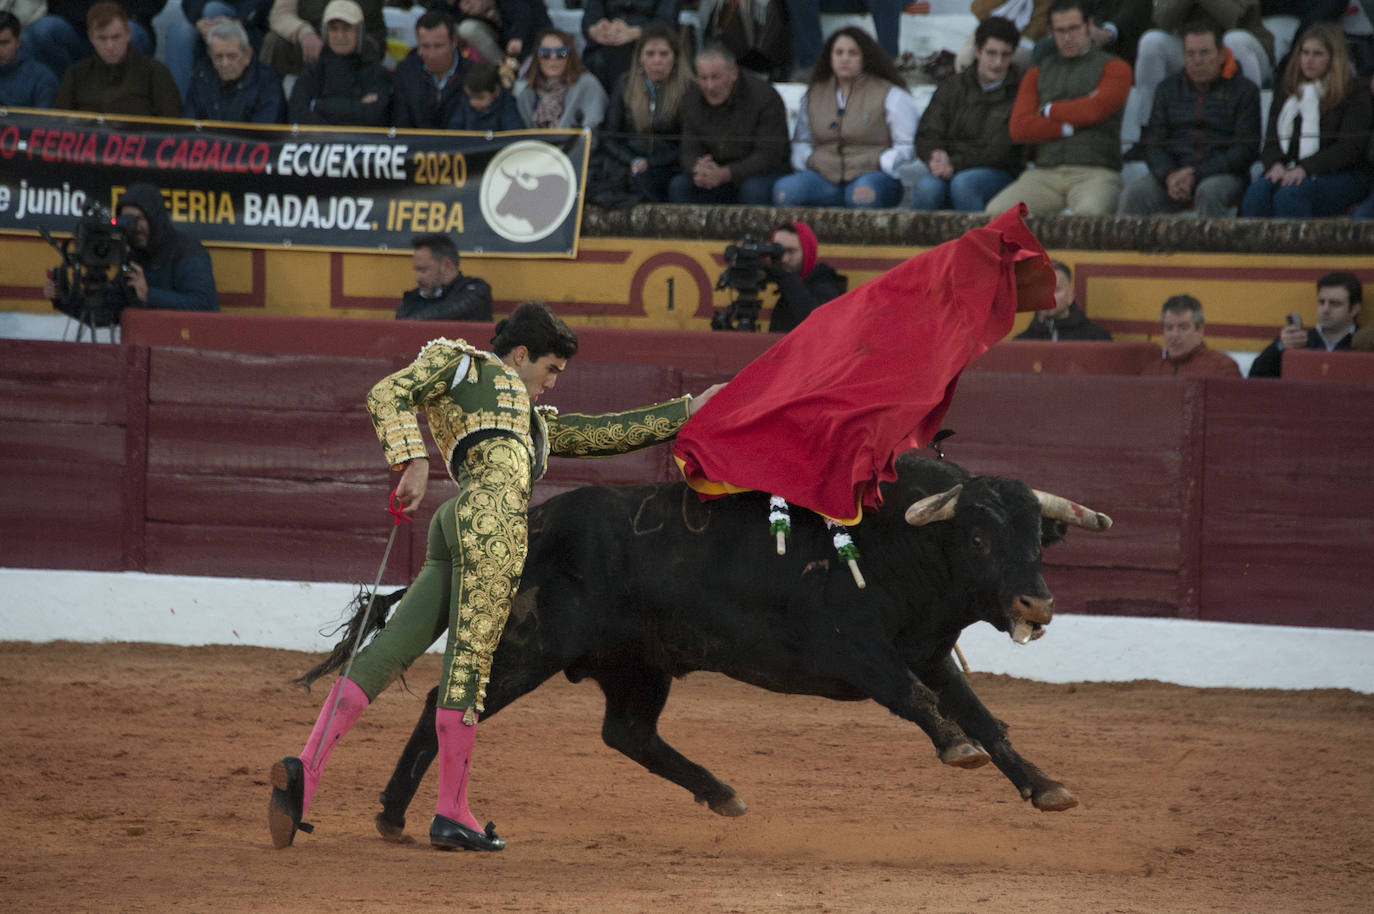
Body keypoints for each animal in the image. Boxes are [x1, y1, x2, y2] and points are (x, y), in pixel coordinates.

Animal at [306, 450, 1110, 835]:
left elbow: (987, 718)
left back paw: (722, 793)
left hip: (639, 665)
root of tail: (527, 522)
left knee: (627, 733)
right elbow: (920, 703)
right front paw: (956, 750)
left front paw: (1046, 787)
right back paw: (392, 814)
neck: (895, 544)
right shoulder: (854, 652)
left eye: (1037, 535)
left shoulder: (929, 651)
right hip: (525, 646)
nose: (1036, 603)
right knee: (447, 705)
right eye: (976, 537)